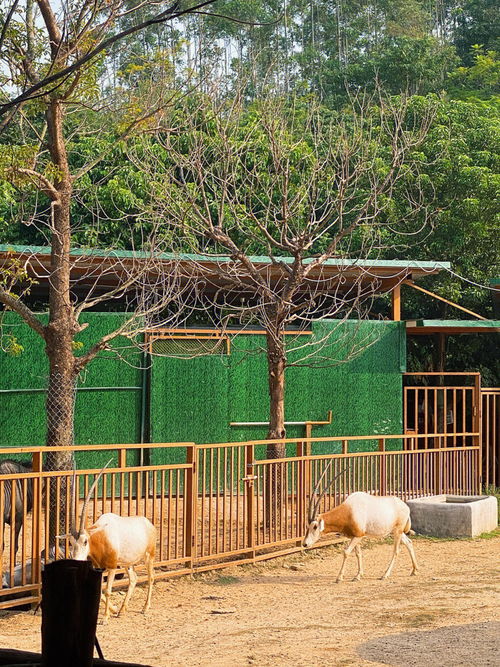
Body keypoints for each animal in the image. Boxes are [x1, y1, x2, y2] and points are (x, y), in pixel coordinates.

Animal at [67, 462, 156, 624]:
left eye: (85, 541)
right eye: (70, 542)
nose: (75, 560)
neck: (100, 537)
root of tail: (148, 523)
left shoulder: (113, 567)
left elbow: (107, 590)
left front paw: (105, 617)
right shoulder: (98, 568)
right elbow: (100, 590)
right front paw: (113, 610)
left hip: (148, 557)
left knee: (151, 577)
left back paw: (145, 608)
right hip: (127, 563)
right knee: (133, 579)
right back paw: (122, 610)